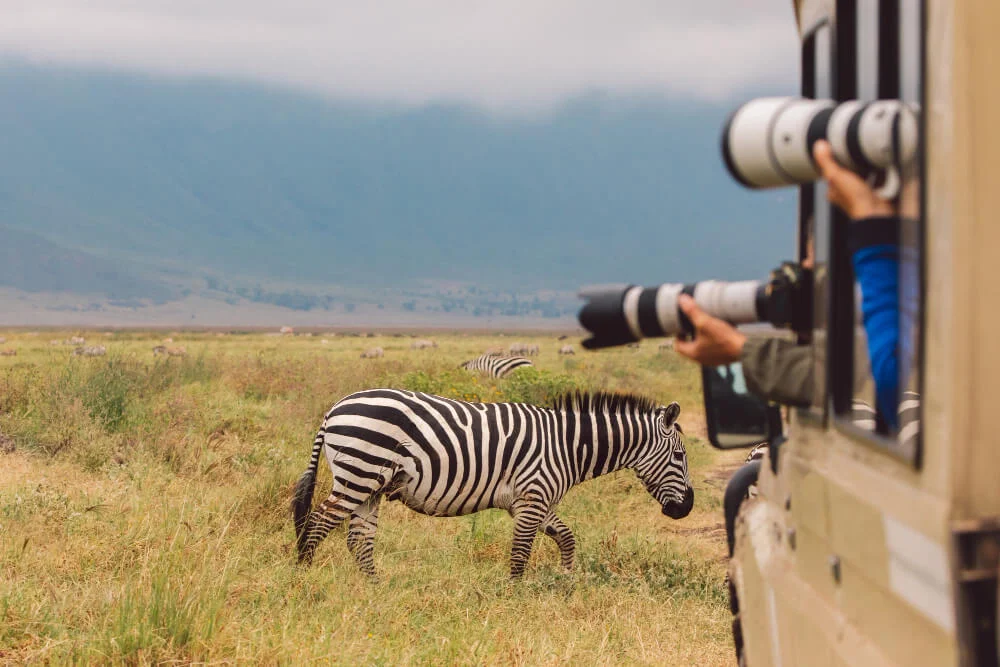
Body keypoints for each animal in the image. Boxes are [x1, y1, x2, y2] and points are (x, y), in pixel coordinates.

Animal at [292, 389, 693, 578]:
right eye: (679, 456)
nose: (686, 508)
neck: (567, 445)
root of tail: (334, 409)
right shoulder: (533, 497)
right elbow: (520, 554)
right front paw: (515, 597)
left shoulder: (532, 501)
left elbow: (566, 537)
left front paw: (566, 578)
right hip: (359, 473)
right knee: (319, 521)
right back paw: (304, 575)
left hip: (370, 485)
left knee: (358, 539)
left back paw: (375, 589)